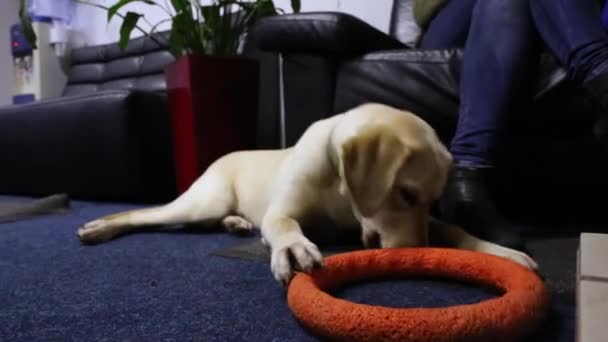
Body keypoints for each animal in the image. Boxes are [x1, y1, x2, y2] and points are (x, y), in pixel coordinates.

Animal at [77, 103, 536, 284]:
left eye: (431, 200)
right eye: (405, 194)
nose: (417, 252)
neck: (340, 188)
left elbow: (456, 230)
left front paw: (502, 252)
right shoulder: (282, 211)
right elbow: (283, 225)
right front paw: (293, 249)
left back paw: (236, 223)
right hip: (200, 201)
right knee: (143, 215)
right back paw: (98, 227)